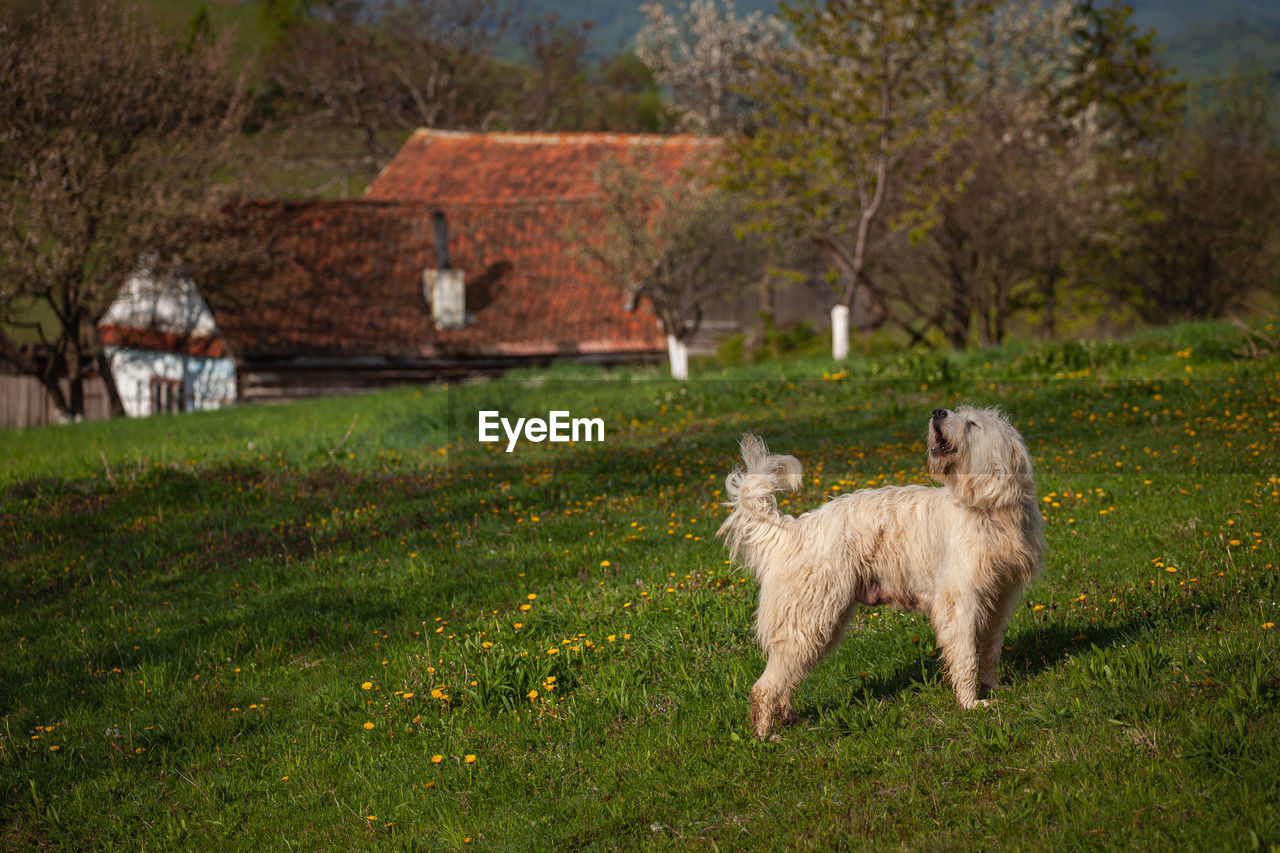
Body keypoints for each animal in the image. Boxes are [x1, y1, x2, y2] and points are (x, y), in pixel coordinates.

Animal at [716, 404, 1044, 737]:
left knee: (785, 679)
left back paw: (788, 718)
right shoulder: (960, 602)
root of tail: (794, 530)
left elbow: (989, 651)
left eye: (973, 424)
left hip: (817, 625)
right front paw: (970, 704)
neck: (989, 508)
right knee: (764, 687)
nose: (938, 412)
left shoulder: (999, 600)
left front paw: (993, 688)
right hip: (809, 621)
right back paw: (766, 736)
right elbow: (966, 656)